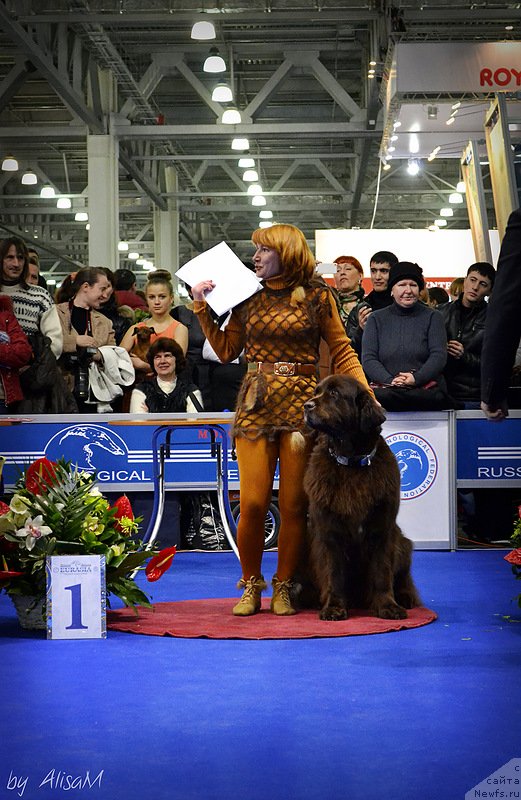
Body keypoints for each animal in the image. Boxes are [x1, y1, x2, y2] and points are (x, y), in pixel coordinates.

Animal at [300, 372, 418, 620]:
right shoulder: (330, 531)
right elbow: (334, 574)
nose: (306, 406)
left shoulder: (381, 528)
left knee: (403, 576)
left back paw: (405, 597)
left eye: (334, 393)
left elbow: (382, 573)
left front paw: (388, 606)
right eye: (317, 391)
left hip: (403, 543)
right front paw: (334, 607)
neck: (351, 463)